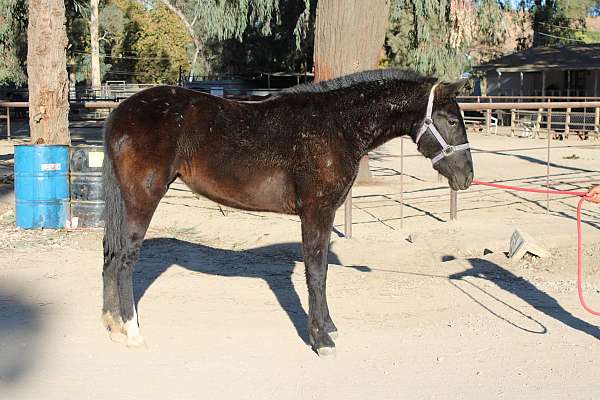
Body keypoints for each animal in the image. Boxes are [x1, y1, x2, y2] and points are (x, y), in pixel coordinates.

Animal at [102, 69, 474, 356]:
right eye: (452, 120)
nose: (467, 177)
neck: (338, 126)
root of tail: (121, 112)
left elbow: (321, 271)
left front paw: (328, 327)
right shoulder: (316, 212)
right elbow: (317, 272)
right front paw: (321, 340)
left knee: (110, 256)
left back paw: (111, 324)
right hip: (143, 199)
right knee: (125, 261)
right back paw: (132, 332)